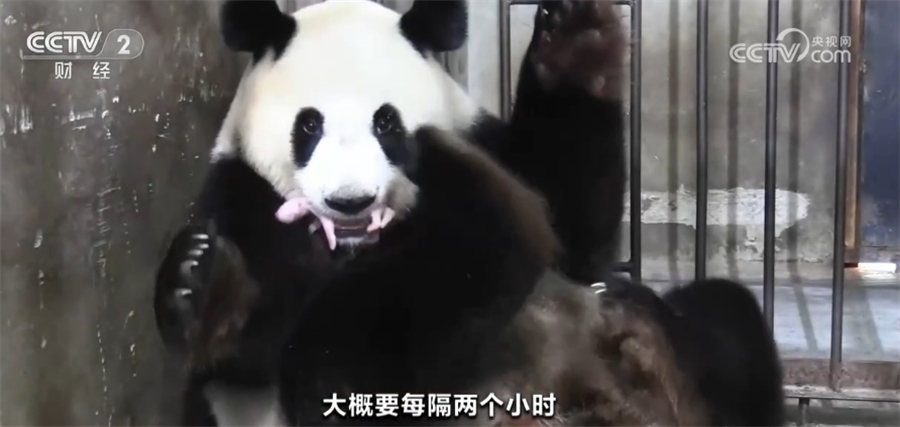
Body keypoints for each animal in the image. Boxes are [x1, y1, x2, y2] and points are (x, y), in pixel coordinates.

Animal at [153, 0, 786, 426]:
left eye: (386, 122)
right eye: (309, 126)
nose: (351, 201)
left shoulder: (489, 144)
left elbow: (571, 231)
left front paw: (576, 40)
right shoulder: (244, 198)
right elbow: (293, 347)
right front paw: (199, 286)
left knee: (724, 321)